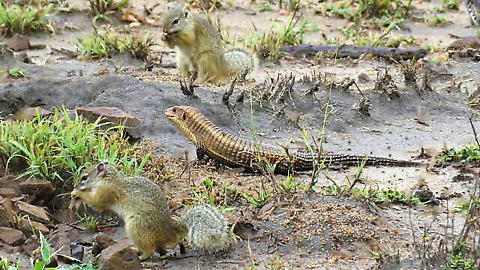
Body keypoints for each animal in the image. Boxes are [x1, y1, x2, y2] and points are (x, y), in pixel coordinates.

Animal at [69, 161, 232, 260]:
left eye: (84, 177)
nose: (75, 185)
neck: (110, 179)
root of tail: (170, 229)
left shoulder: (106, 192)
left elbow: (96, 203)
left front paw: (77, 194)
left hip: (137, 226)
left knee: (150, 249)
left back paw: (141, 255)